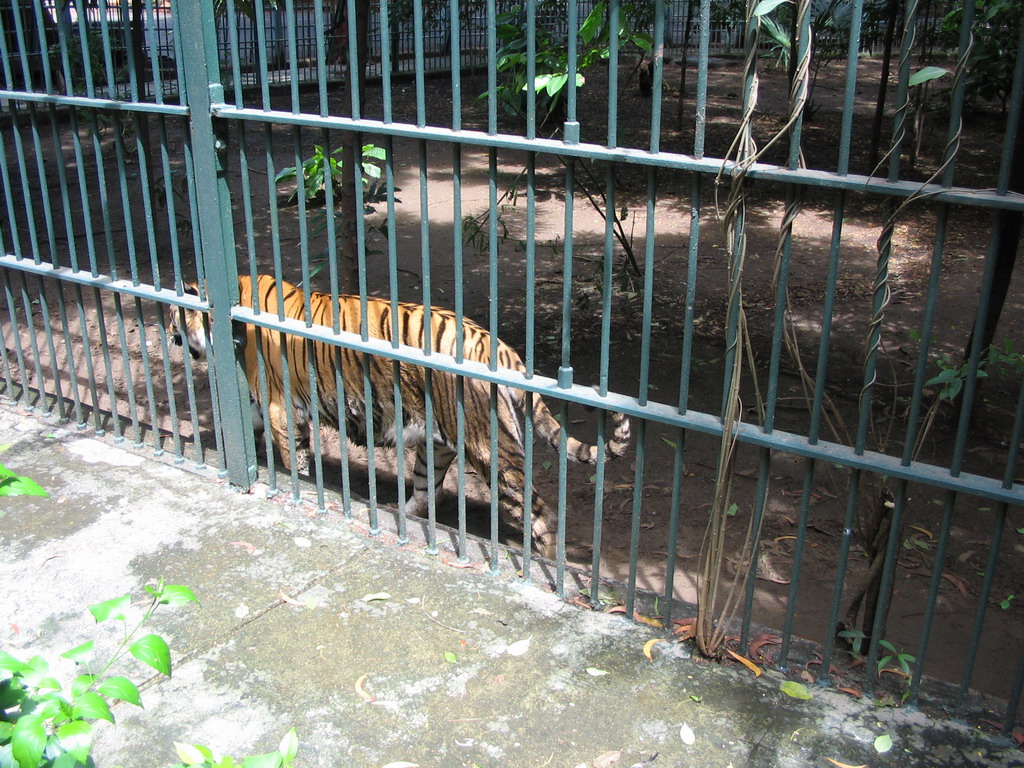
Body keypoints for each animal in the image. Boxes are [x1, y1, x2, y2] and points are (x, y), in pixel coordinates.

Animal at [172, 274, 626, 557]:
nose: (177, 340)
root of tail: (494, 344)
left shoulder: (281, 410)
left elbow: (293, 459)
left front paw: (296, 487)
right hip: (436, 445)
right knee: (428, 493)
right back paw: (395, 515)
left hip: (490, 449)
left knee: (538, 512)